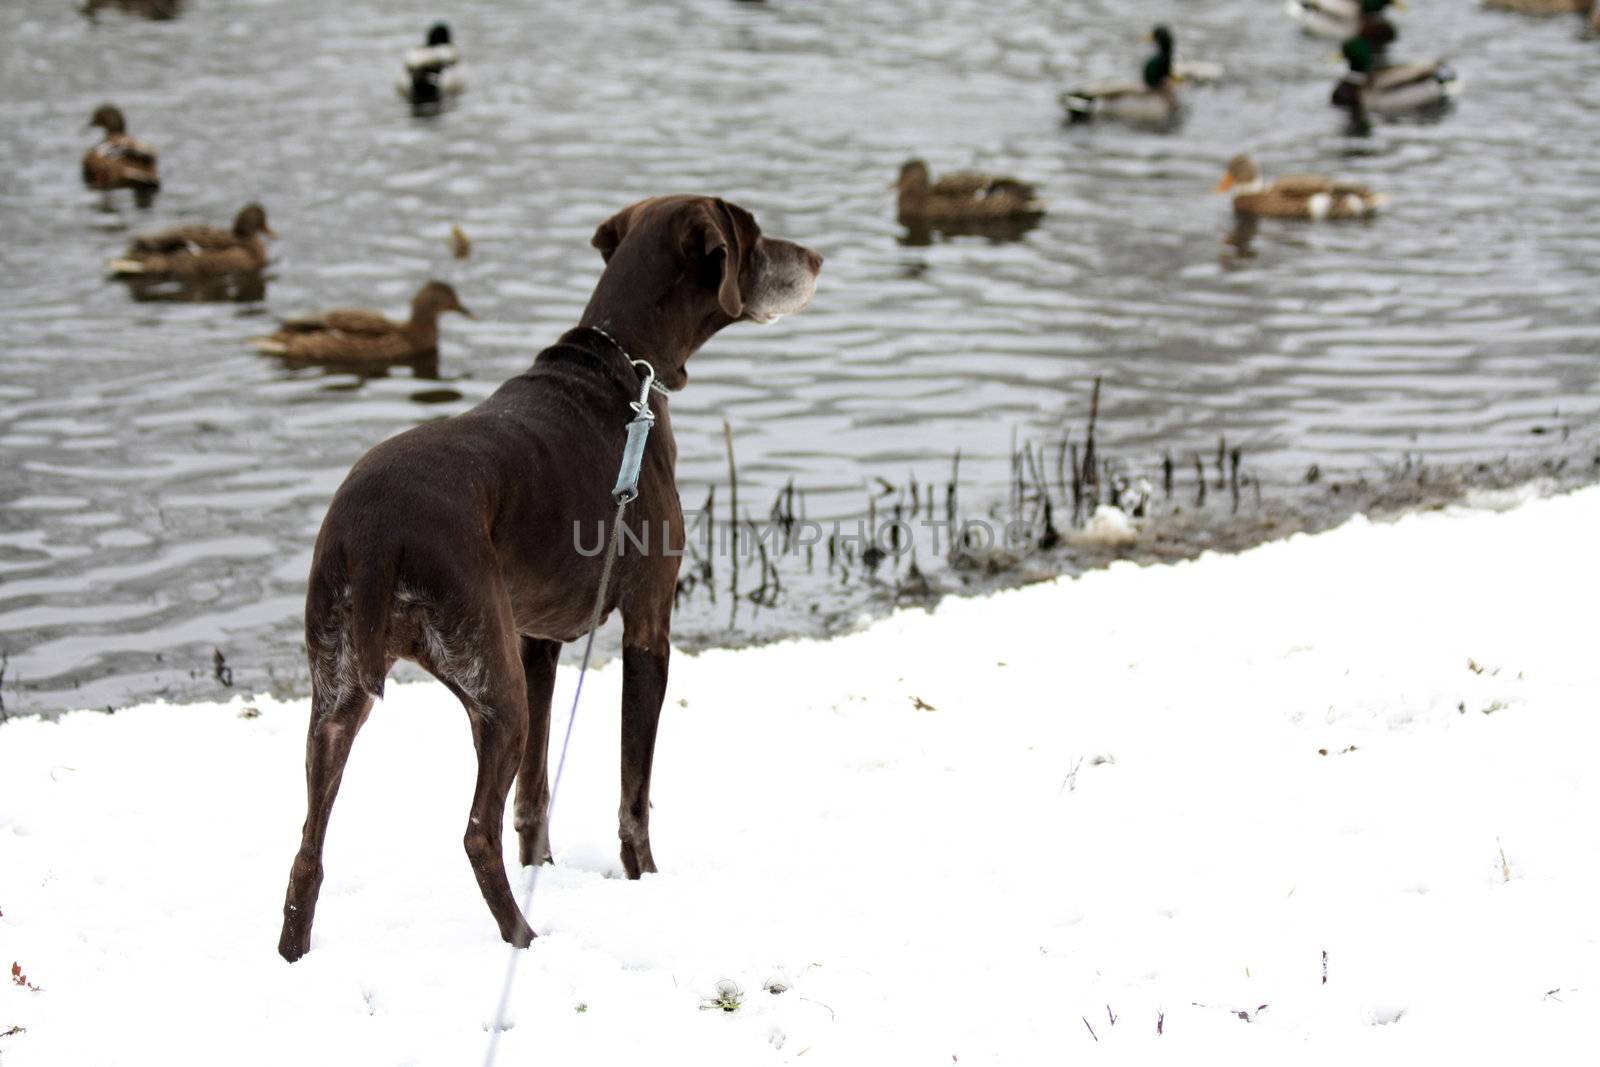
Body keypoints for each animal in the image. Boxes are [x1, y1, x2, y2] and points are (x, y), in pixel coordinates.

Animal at [276, 198, 819, 959]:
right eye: (755, 233)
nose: (817, 258)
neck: (626, 362)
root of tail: (377, 530)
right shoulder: (649, 626)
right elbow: (633, 792)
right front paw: (644, 880)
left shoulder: (538, 640)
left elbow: (535, 793)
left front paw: (547, 867)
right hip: (491, 687)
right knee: (475, 830)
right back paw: (523, 936)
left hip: (338, 692)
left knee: (308, 844)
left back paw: (293, 955)